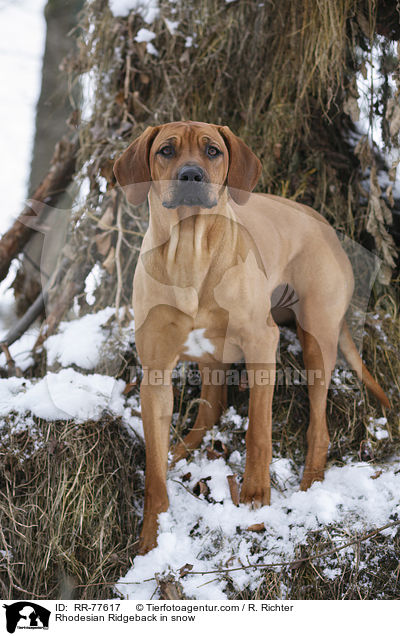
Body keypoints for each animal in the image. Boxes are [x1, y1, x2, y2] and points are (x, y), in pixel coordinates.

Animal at [114, 121, 390, 556]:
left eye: (212, 151)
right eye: (166, 150)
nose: (191, 176)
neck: (191, 255)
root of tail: (325, 224)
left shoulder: (262, 343)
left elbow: (259, 428)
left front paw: (256, 492)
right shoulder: (155, 373)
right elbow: (154, 470)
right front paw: (151, 537)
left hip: (316, 335)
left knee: (319, 427)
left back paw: (311, 483)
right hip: (215, 358)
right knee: (209, 411)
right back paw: (180, 452)